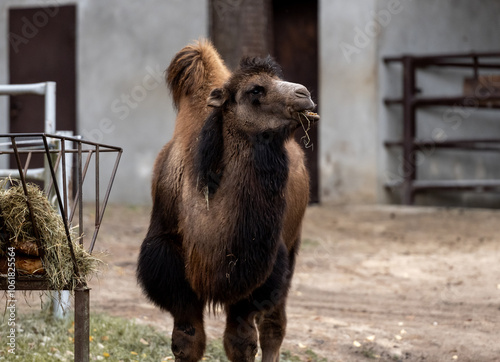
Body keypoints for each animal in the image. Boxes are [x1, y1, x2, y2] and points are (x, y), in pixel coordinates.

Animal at [135, 39, 318, 362]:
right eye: (255, 90)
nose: (304, 94)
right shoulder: (170, 270)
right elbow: (186, 342)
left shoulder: (260, 274)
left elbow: (241, 343)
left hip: (293, 243)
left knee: (274, 327)